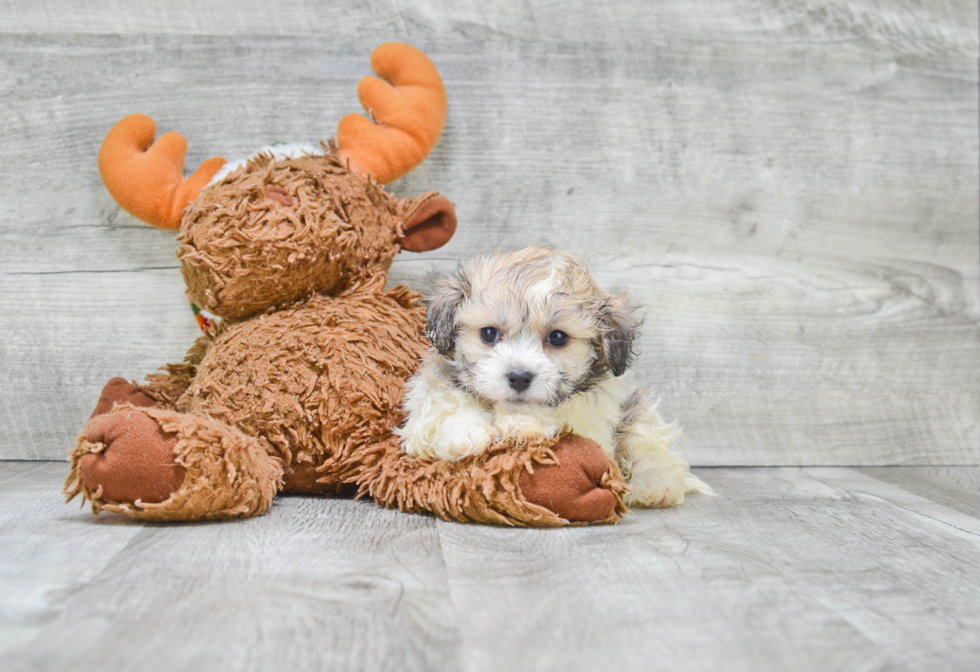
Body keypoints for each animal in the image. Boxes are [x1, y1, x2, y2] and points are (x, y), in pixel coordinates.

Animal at [398, 249, 712, 506]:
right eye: (489, 333)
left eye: (558, 338)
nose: (519, 377)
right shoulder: (428, 398)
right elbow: (446, 405)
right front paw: (465, 435)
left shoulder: (594, 420)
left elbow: (564, 414)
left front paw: (523, 424)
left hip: (637, 413)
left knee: (650, 448)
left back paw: (655, 485)